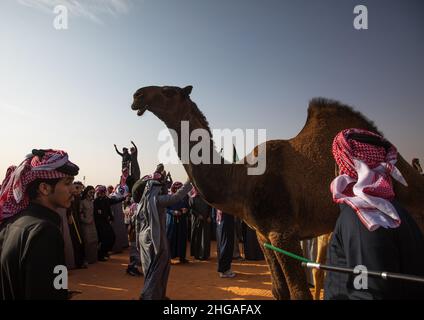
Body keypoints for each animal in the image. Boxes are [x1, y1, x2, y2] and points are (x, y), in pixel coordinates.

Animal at [130, 85, 424, 300]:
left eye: (168, 91)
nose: (137, 95)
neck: (242, 182)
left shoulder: (284, 233)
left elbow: (299, 294)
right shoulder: (263, 235)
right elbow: (279, 291)